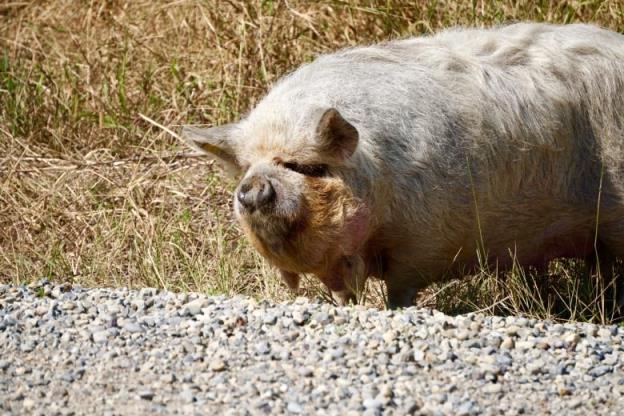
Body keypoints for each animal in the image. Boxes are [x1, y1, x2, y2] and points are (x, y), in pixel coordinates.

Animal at [183, 23, 624, 308]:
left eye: (305, 166)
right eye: (247, 168)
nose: (252, 189)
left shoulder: (422, 241)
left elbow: (401, 291)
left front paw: (393, 310)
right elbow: (343, 293)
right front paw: (347, 309)